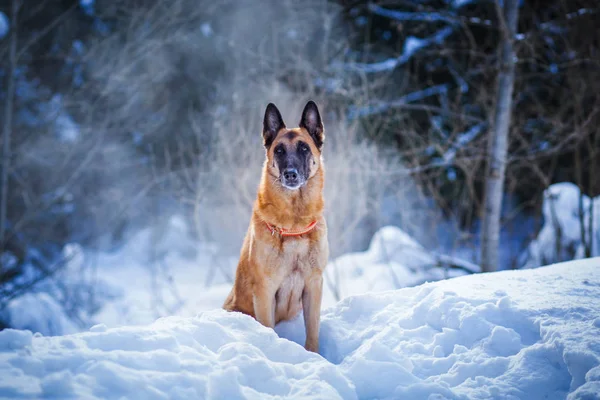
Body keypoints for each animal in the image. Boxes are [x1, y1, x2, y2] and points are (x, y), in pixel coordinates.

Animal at [224, 101, 328, 354]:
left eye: (304, 148)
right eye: (279, 151)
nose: (290, 174)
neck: (294, 226)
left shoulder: (314, 286)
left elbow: (313, 332)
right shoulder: (265, 291)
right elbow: (268, 327)